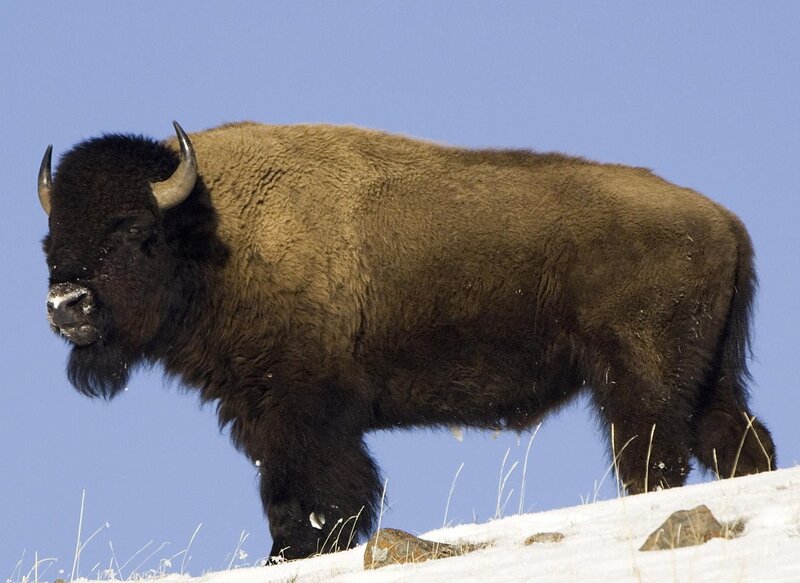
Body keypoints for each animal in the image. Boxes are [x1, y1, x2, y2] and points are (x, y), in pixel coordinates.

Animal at [40, 121, 775, 560]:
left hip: (639, 379)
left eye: (136, 231)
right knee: (738, 443)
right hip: (708, 379)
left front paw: (295, 553)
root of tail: (725, 221)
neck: (212, 232)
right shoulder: (262, 413)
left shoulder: (304, 415)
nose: (66, 305)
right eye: (49, 241)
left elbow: (318, 495)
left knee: (653, 458)